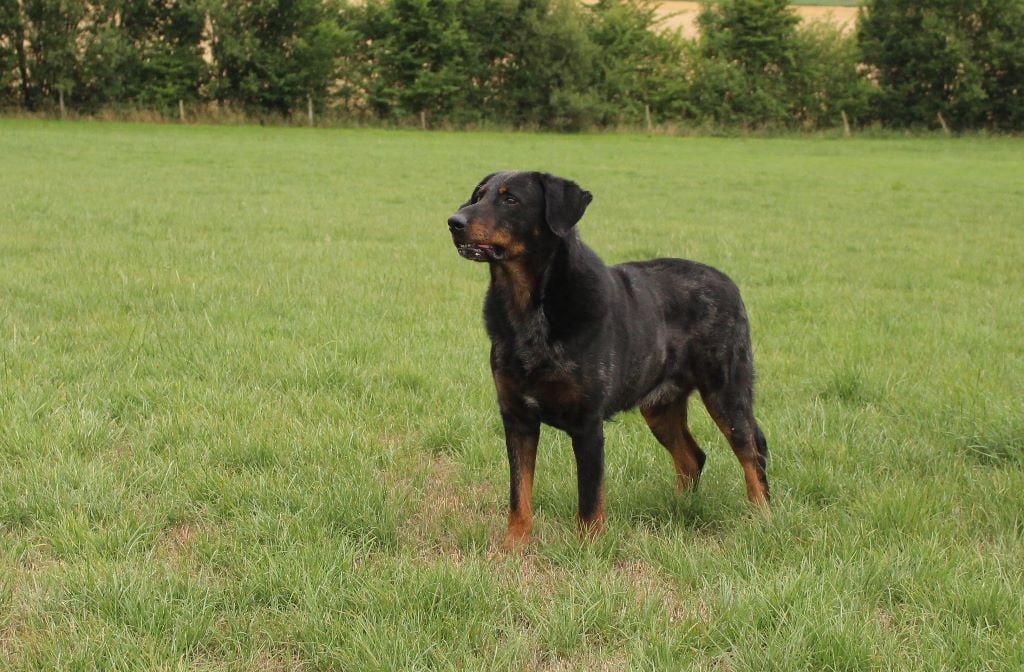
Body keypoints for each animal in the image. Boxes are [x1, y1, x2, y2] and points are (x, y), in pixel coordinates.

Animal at [447, 171, 769, 547]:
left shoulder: (587, 423)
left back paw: (763, 518)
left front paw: (588, 548)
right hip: (660, 406)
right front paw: (512, 547)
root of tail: (729, 282)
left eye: (510, 199)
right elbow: (519, 494)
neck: (528, 309)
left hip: (726, 392)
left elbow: (589, 498)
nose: (454, 221)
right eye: (478, 196)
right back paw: (681, 509)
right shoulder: (517, 417)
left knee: (751, 453)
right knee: (692, 457)